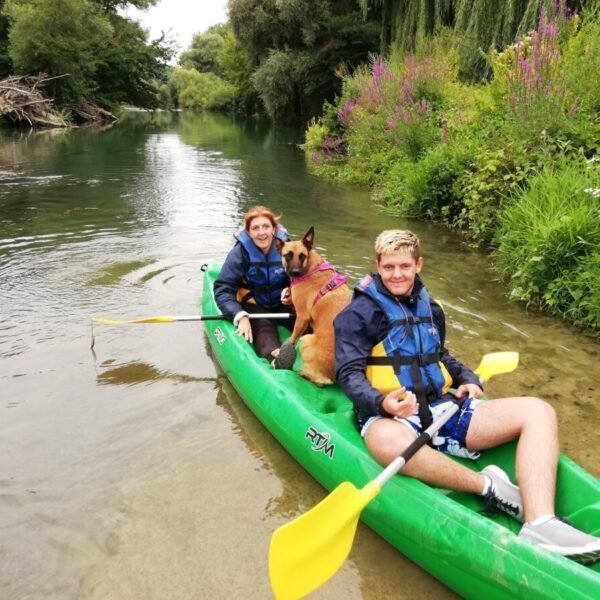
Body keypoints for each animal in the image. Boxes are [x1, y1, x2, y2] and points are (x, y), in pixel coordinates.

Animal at [274, 227, 350, 386]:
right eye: (287, 255)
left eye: (302, 256)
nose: (295, 272)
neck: (311, 268)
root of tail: (330, 377)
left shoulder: (302, 318)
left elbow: (292, 338)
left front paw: (279, 352)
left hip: (307, 339)